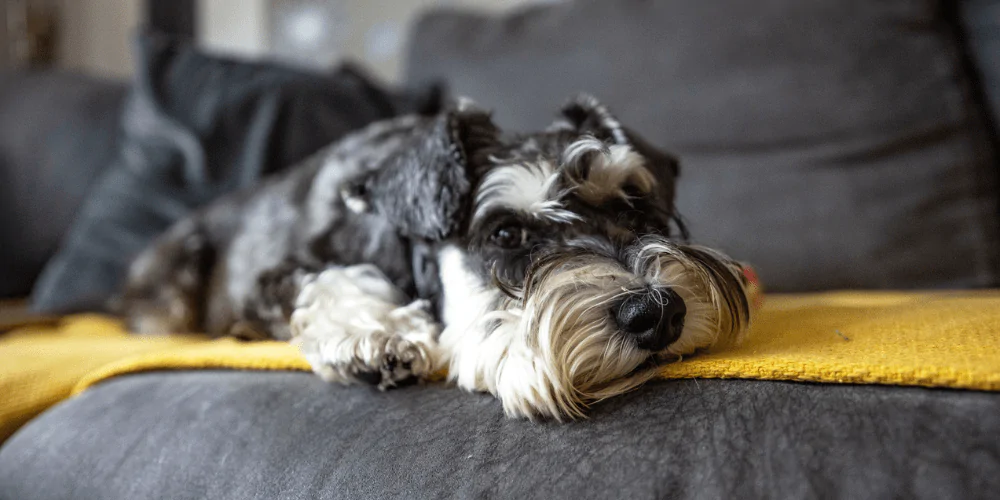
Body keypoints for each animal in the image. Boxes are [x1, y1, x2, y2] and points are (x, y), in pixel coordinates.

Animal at [119, 95, 752, 420]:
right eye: (506, 234)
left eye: (632, 205)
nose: (657, 312)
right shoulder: (274, 277)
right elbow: (330, 281)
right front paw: (376, 337)